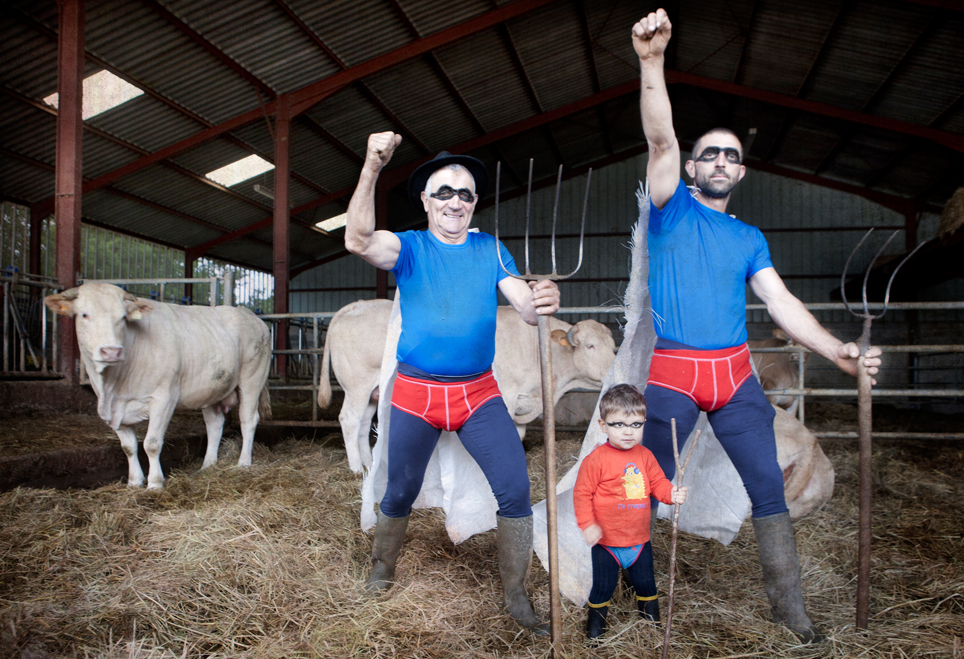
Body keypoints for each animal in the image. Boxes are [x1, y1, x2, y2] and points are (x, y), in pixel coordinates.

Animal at [44, 284, 272, 490]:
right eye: (84, 314)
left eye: (122, 317)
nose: (111, 351)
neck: (113, 386)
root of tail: (248, 314)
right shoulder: (115, 409)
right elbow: (128, 447)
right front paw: (134, 482)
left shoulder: (164, 398)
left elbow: (151, 443)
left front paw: (154, 483)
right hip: (212, 388)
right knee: (214, 424)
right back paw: (207, 466)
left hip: (252, 378)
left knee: (248, 419)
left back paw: (243, 463)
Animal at [316, 300, 616, 474]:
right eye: (590, 346)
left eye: (613, 346)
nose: (614, 372)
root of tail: (357, 305)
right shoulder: (506, 395)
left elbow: (517, 437)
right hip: (357, 385)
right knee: (349, 420)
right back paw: (356, 469)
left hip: (371, 392)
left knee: (364, 423)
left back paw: (369, 465)